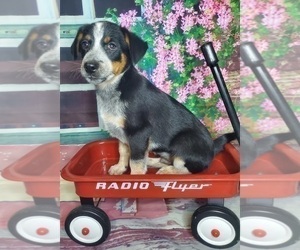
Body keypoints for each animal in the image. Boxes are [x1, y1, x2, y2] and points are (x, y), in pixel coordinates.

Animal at [71, 21, 237, 174]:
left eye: (112, 46)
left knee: (187, 167)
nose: (89, 66)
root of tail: (212, 149)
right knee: (167, 159)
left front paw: (136, 178)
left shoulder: (139, 132)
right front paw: (120, 167)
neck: (114, 88)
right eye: (85, 44)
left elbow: (136, 162)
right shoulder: (122, 133)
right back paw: (152, 161)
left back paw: (167, 171)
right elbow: (123, 151)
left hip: (183, 142)